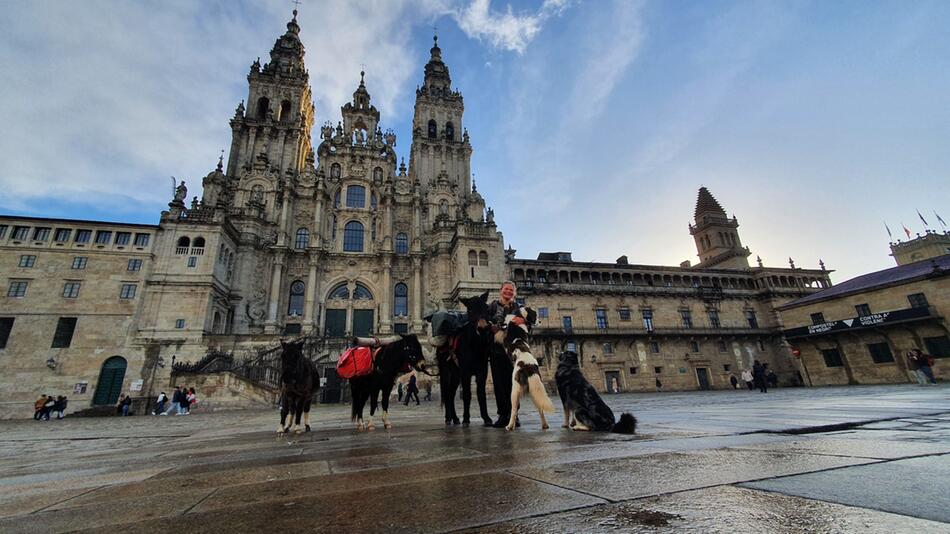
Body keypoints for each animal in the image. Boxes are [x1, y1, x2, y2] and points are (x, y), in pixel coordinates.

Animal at [438, 292, 494, 430]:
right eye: (470, 310)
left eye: (486, 307)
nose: (483, 328)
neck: (474, 345)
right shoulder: (465, 373)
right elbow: (467, 395)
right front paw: (466, 419)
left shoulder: (482, 371)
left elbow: (481, 393)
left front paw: (486, 418)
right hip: (446, 372)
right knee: (446, 393)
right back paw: (448, 418)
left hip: (456, 375)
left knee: (451, 394)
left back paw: (455, 418)